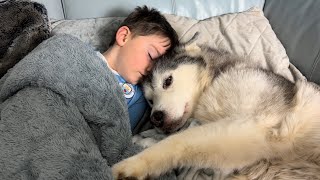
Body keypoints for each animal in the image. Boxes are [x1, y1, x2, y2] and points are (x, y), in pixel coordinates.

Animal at [112, 44, 320, 179]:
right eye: (150, 100)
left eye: (167, 81)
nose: (156, 117)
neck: (212, 81)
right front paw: (143, 139)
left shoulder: (251, 128)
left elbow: (176, 142)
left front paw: (133, 165)